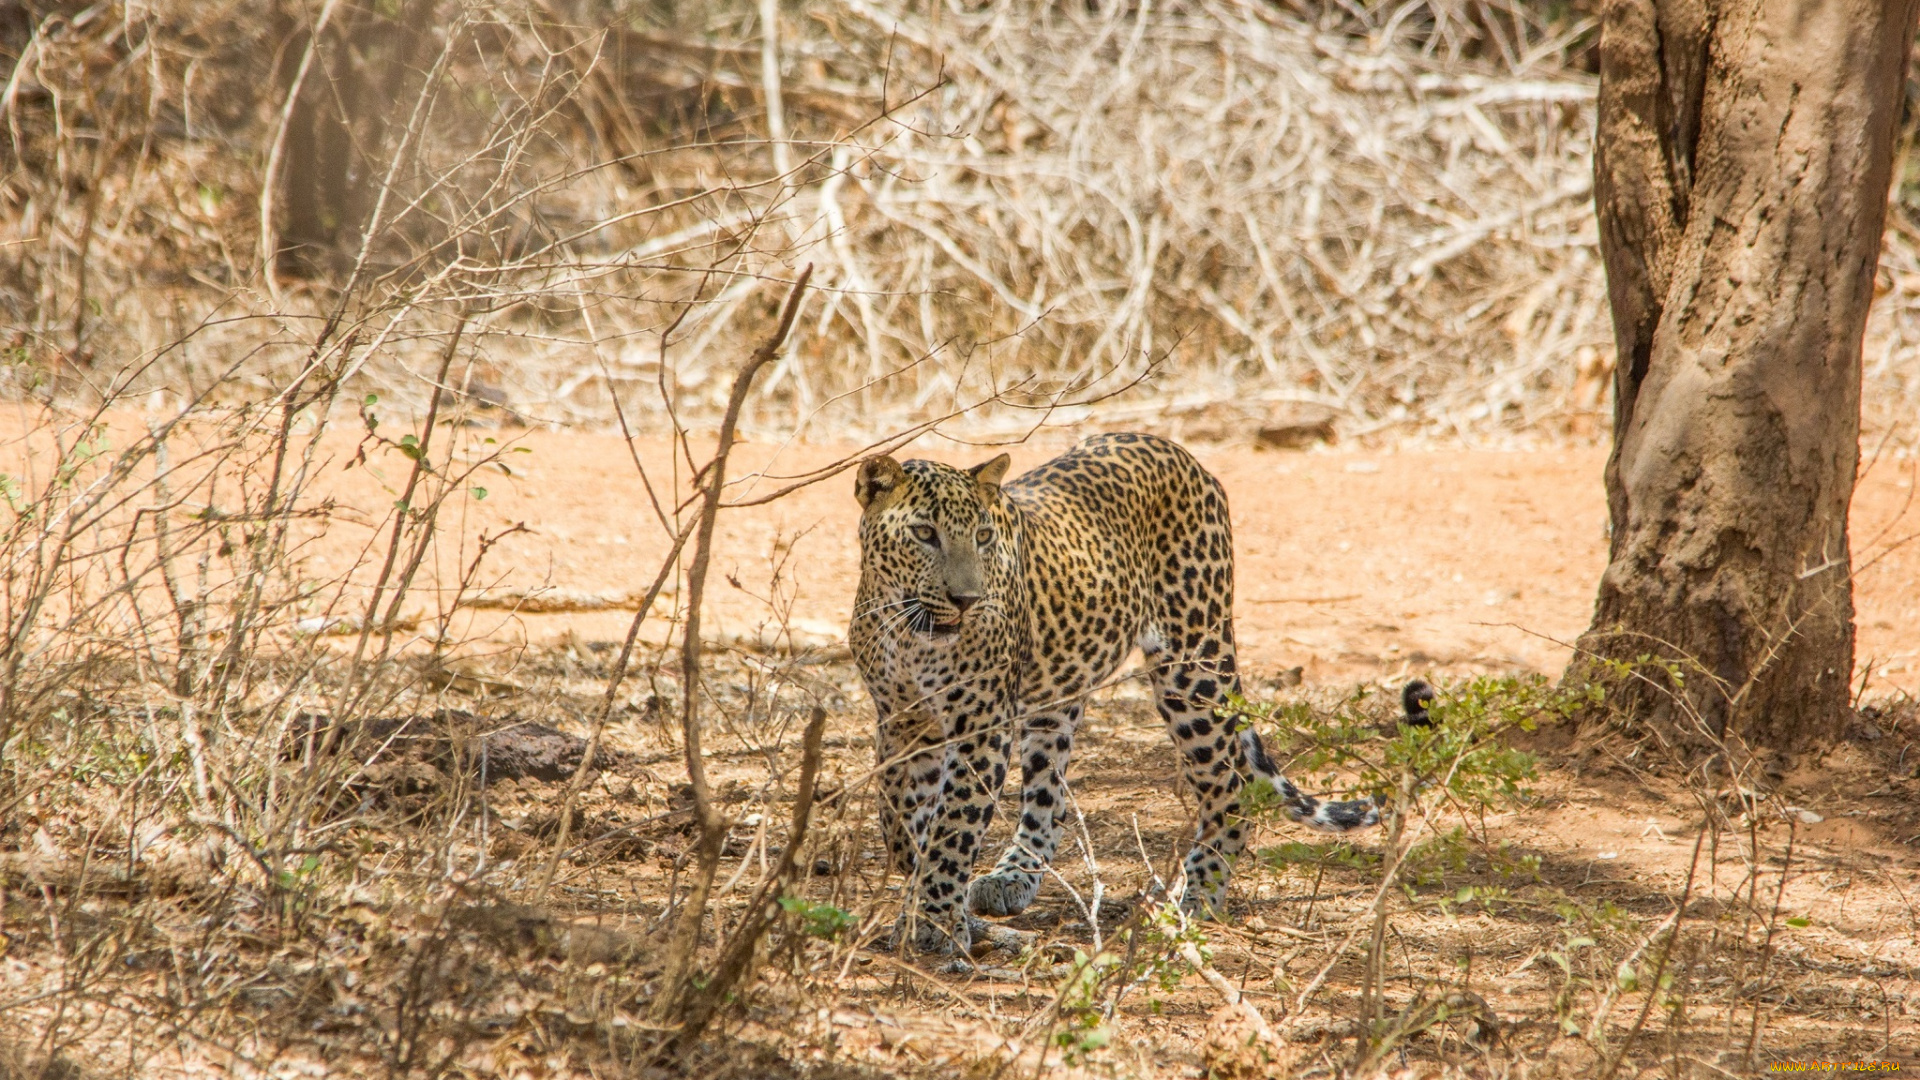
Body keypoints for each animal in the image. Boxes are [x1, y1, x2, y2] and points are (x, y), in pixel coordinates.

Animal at [852, 428, 1382, 949]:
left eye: (982, 537)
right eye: (924, 534)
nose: (966, 600)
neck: (909, 633)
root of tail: (1178, 451)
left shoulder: (982, 726)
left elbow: (953, 827)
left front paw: (936, 920)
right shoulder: (901, 722)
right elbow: (899, 818)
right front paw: (920, 896)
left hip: (1192, 668)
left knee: (1231, 786)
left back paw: (1197, 896)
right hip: (1058, 695)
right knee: (1050, 797)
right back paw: (1012, 876)